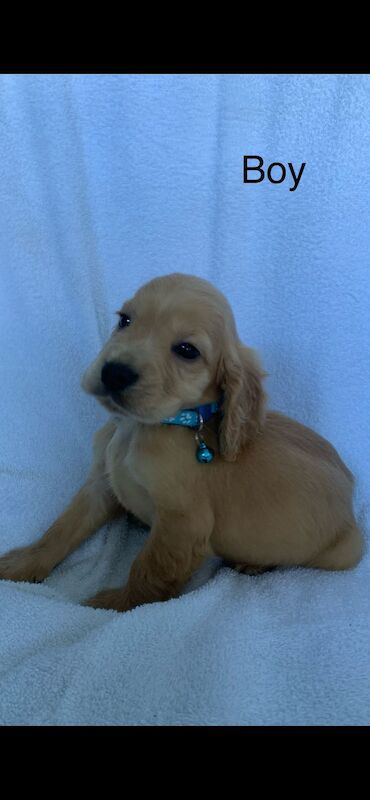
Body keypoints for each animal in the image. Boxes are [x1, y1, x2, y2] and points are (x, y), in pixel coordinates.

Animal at [0, 272, 364, 608]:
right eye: (124, 320)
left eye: (187, 350)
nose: (114, 373)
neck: (141, 428)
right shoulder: (100, 485)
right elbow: (61, 529)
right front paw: (23, 564)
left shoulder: (183, 523)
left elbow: (149, 571)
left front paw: (114, 603)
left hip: (339, 552)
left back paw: (253, 564)